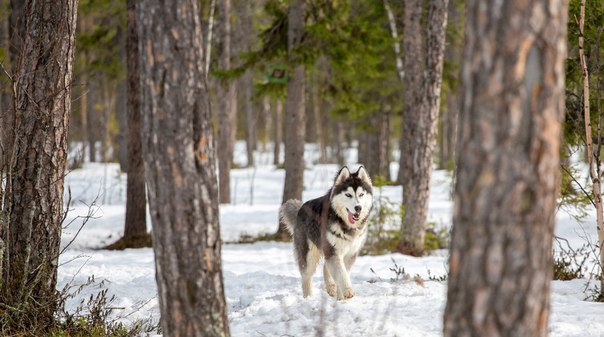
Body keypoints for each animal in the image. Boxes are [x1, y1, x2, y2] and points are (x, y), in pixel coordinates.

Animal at [280, 165, 372, 300]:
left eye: (361, 194)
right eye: (348, 195)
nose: (358, 208)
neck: (345, 224)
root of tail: (301, 208)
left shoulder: (351, 253)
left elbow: (342, 272)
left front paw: (341, 298)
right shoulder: (333, 251)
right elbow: (341, 273)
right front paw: (347, 291)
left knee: (325, 267)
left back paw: (331, 288)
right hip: (309, 254)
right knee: (306, 276)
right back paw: (308, 298)